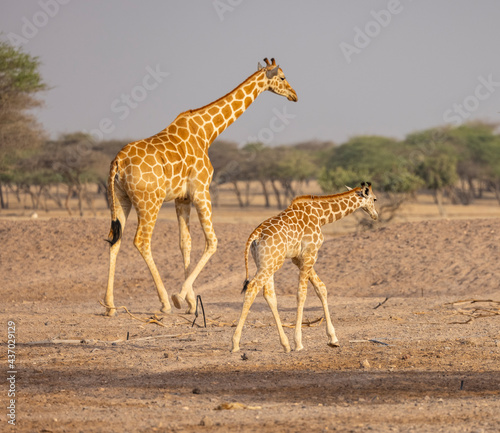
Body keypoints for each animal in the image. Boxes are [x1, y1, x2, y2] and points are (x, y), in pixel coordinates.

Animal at [102, 57, 296, 316]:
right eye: (283, 77)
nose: (294, 95)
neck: (208, 131)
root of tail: (118, 162)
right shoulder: (201, 190)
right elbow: (212, 242)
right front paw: (180, 297)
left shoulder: (182, 197)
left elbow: (185, 243)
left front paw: (191, 302)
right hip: (149, 201)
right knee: (141, 241)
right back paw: (164, 302)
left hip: (119, 198)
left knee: (115, 238)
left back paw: (110, 305)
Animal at [232, 181, 376, 352]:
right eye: (375, 199)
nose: (375, 215)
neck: (321, 216)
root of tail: (255, 234)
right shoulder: (310, 254)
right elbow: (302, 294)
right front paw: (299, 342)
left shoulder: (299, 258)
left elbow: (321, 288)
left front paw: (333, 338)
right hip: (270, 264)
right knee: (252, 288)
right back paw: (235, 344)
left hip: (267, 263)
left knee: (269, 295)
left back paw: (285, 344)